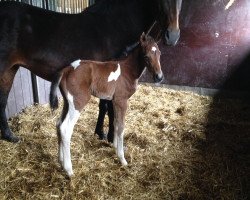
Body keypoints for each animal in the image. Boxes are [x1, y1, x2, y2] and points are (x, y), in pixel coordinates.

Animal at [0, 0, 182, 142]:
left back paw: (10, 137)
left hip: (10, 70)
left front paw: (100, 133)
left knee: (2, 100)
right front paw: (110, 137)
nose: (172, 36)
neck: (115, 25)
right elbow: (108, 107)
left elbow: (103, 106)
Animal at [50, 33, 164, 177]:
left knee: (58, 124)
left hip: (67, 103)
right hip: (78, 103)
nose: (159, 77)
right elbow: (121, 126)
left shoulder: (114, 101)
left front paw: (114, 147)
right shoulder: (121, 101)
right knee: (65, 128)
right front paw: (122, 159)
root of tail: (67, 69)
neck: (127, 70)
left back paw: (60, 161)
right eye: (146, 56)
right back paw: (69, 170)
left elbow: (115, 123)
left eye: (159, 54)